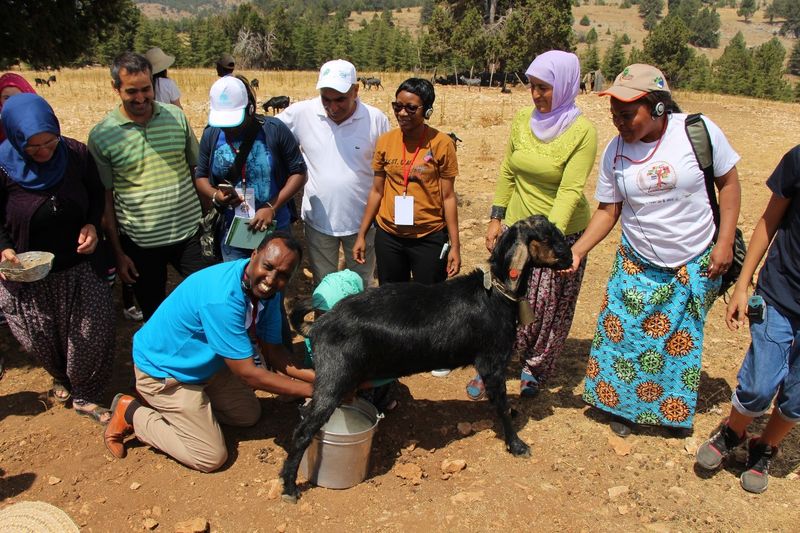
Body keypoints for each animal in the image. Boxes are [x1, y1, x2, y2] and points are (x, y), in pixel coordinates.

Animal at [278, 214, 572, 500]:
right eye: (548, 236)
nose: (569, 258)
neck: (494, 293)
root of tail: (320, 324)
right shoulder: (492, 361)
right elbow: (500, 404)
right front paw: (517, 445)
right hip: (334, 377)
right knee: (303, 431)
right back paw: (290, 487)